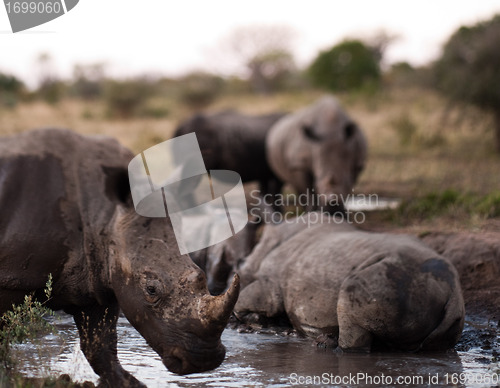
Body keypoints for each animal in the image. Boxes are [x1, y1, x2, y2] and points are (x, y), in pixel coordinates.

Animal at [0, 130, 240, 388]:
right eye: (151, 289)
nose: (204, 361)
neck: (104, 214)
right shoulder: (11, 277)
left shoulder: (97, 276)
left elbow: (99, 345)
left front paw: (128, 383)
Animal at [236, 215, 466, 352]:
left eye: (241, 266)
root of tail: (452, 292)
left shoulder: (269, 284)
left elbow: (245, 302)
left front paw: (258, 320)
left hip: (391, 278)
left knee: (350, 306)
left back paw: (326, 344)